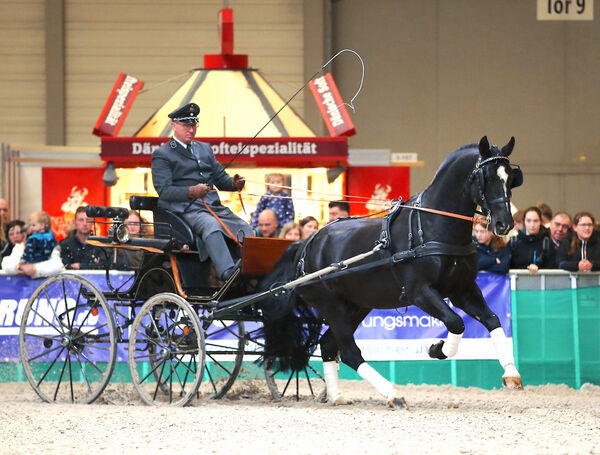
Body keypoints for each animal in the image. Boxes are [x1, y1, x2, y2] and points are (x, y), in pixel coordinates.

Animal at [260, 137, 524, 408]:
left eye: (510, 178)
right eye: (487, 177)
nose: (504, 224)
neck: (433, 228)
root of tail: (306, 244)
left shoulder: (463, 290)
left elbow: (492, 319)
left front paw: (511, 373)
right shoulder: (421, 293)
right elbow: (456, 322)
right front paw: (437, 349)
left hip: (355, 306)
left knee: (329, 346)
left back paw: (337, 396)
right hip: (331, 307)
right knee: (349, 352)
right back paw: (393, 394)